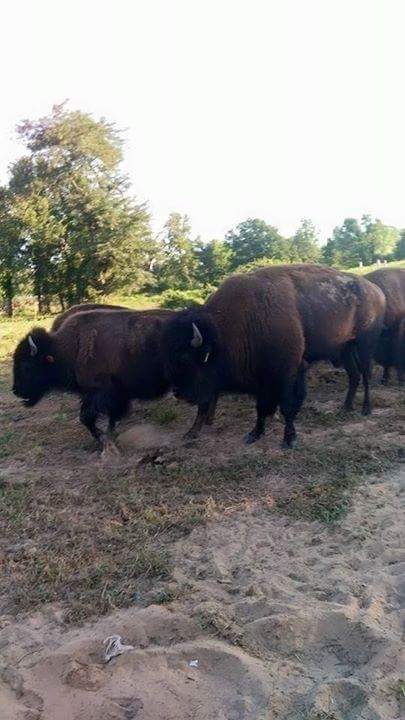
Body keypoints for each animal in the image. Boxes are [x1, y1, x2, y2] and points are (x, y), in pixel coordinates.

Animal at [13, 308, 175, 455]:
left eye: (26, 366)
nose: (16, 391)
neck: (71, 349)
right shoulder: (99, 395)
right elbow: (100, 417)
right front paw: (108, 436)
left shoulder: (101, 393)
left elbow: (87, 417)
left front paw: (105, 439)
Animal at [163, 264, 386, 448]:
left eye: (187, 359)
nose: (176, 392)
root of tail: (377, 291)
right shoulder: (262, 379)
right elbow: (261, 407)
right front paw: (254, 434)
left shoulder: (287, 372)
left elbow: (287, 405)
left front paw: (289, 439)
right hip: (345, 348)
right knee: (354, 375)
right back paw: (345, 407)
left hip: (365, 345)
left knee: (366, 374)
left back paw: (366, 409)